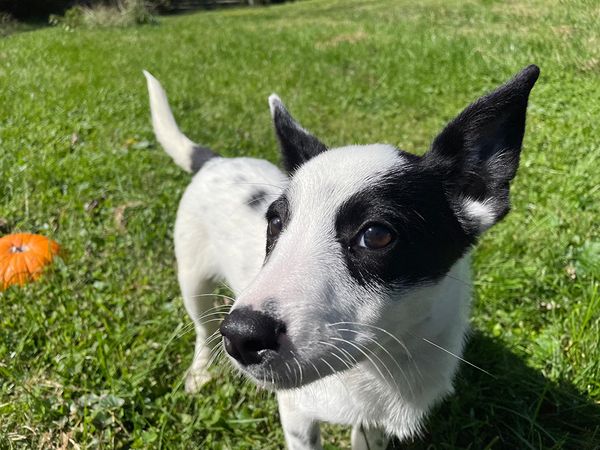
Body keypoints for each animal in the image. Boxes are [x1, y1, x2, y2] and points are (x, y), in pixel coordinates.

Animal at [144, 66, 540, 450]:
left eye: (376, 235)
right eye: (275, 222)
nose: (241, 336)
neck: (384, 362)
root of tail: (215, 161)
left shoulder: (371, 422)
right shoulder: (297, 414)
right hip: (194, 282)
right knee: (202, 329)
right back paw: (200, 372)